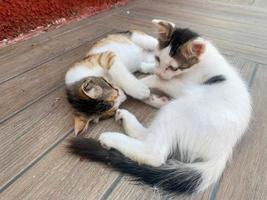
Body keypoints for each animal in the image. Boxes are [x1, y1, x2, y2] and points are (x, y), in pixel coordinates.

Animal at [68, 19, 252, 195]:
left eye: (172, 67)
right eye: (158, 59)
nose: (159, 71)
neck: (202, 61)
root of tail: (224, 151)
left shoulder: (182, 84)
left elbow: (156, 81)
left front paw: (140, 84)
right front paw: (146, 71)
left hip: (180, 108)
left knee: (154, 153)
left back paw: (110, 137)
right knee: (148, 136)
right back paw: (127, 118)